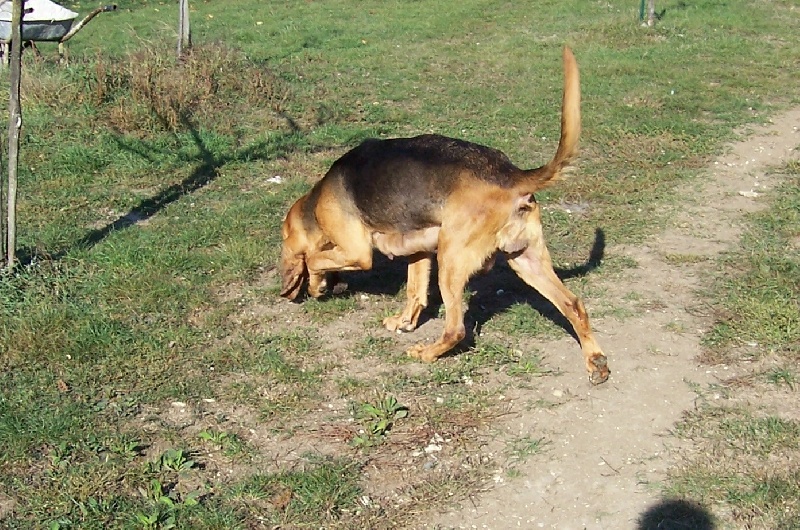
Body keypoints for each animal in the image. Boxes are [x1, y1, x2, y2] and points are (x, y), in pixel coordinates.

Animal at [278, 46, 608, 384]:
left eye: (283, 237)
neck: (317, 201)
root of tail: (511, 174)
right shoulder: (419, 251)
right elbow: (415, 292)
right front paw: (404, 321)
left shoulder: (359, 253)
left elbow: (314, 260)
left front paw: (317, 285)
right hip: (526, 259)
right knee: (574, 305)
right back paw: (596, 361)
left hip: (451, 262)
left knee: (456, 329)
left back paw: (427, 353)